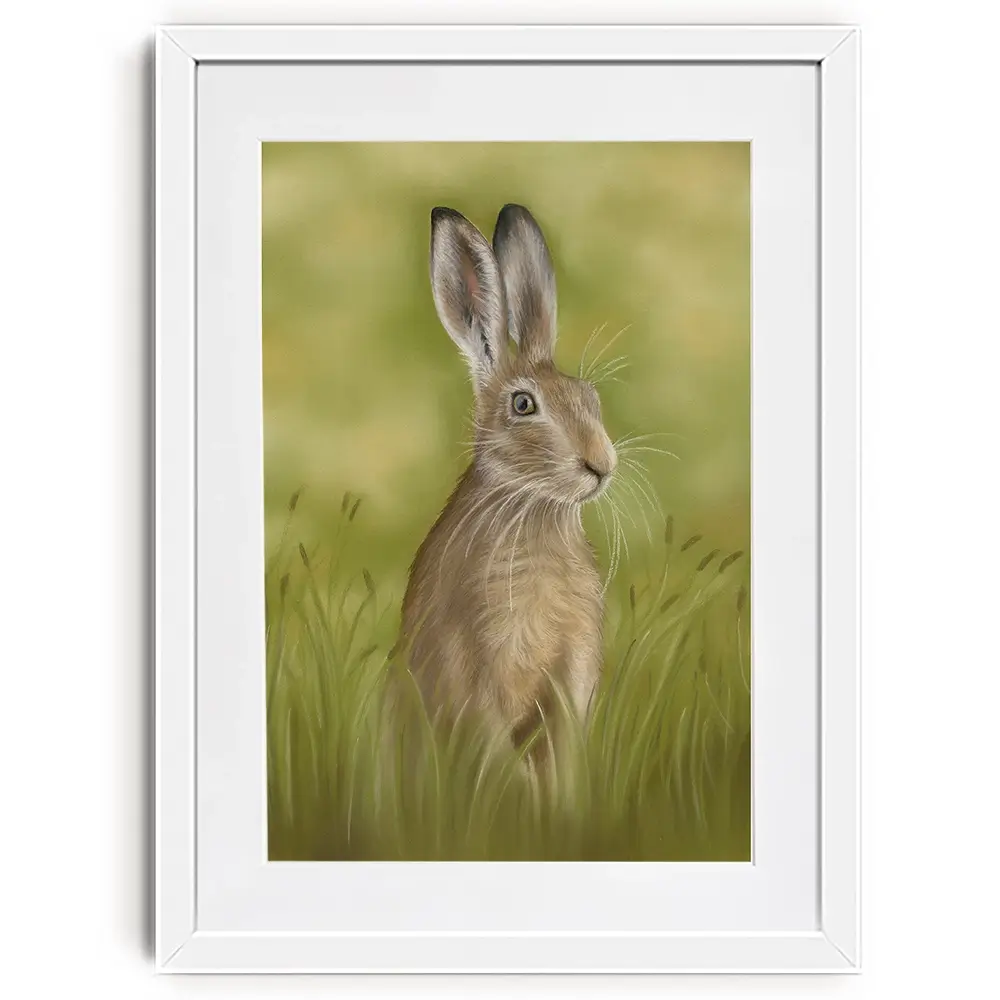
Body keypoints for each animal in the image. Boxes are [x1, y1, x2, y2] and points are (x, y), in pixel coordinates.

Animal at [398, 204, 617, 761]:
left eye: (589, 396)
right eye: (522, 405)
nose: (601, 464)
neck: (534, 509)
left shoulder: (571, 677)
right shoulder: (476, 673)